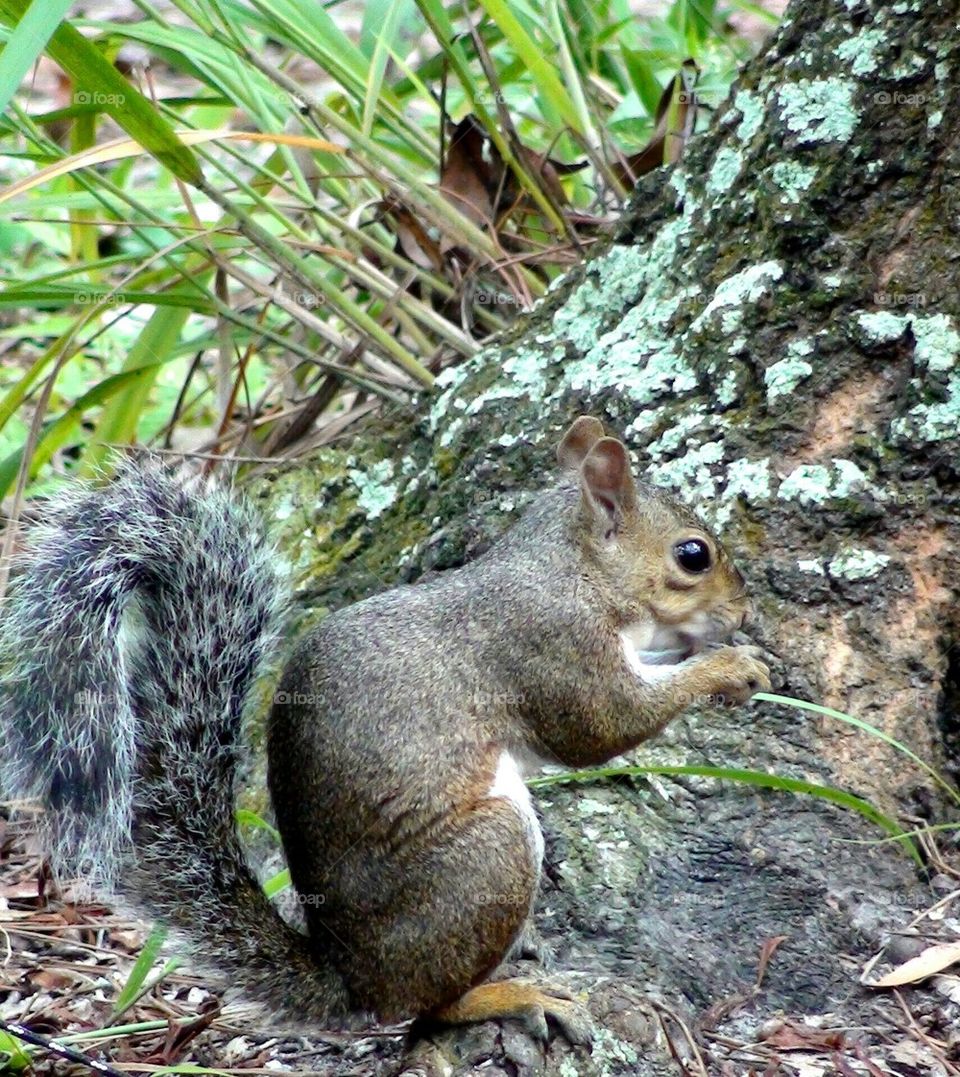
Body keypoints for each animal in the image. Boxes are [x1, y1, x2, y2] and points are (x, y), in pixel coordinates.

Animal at [0, 416, 770, 1045]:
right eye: (693, 554)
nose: (744, 608)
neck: (572, 568)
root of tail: (353, 981)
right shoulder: (554, 646)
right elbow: (602, 729)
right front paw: (729, 666)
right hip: (489, 857)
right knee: (429, 1006)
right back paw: (512, 995)